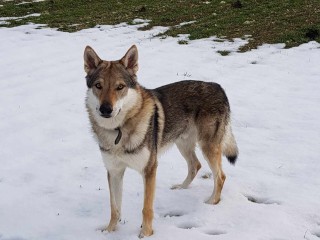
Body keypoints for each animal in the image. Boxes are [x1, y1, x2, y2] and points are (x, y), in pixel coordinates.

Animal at [84, 44, 239, 236]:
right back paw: (181, 188)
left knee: (221, 176)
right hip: (183, 144)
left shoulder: (150, 169)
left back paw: (212, 202)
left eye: (120, 87)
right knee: (195, 165)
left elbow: (146, 208)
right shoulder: (114, 171)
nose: (106, 109)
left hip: (207, 147)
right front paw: (109, 232)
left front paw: (145, 234)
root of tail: (218, 86)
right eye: (98, 86)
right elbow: (115, 208)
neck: (118, 130)